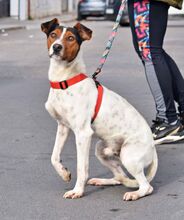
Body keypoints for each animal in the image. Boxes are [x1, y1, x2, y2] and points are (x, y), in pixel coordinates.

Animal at [41, 18, 157, 201]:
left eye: (70, 38)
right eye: (53, 35)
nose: (57, 47)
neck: (64, 81)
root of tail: (153, 146)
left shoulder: (83, 134)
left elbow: (82, 167)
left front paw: (77, 191)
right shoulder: (63, 127)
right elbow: (54, 157)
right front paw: (64, 173)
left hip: (128, 155)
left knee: (146, 186)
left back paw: (134, 194)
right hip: (101, 150)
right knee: (120, 176)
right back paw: (103, 181)